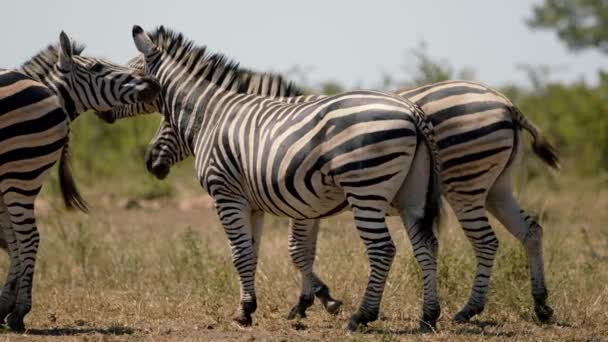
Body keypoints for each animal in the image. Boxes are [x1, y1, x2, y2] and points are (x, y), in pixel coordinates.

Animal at [0, 32, 160, 332]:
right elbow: (9, 241)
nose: (154, 83)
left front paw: (9, 307)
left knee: (29, 237)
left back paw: (18, 313)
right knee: (23, 238)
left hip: (20, 174)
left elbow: (12, 241)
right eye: (96, 67)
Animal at [105, 60, 560, 324]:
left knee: (484, 242)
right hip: (496, 187)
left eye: (168, 122)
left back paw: (465, 310)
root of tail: (506, 103)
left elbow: (294, 251)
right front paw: (309, 301)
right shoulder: (303, 202)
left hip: (465, 184)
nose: (152, 164)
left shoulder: (293, 198)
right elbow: (301, 251)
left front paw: (319, 300)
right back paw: (540, 305)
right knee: (531, 231)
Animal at [107, 26, 444, 332]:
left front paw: (247, 312)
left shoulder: (228, 195)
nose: (151, 163)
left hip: (366, 188)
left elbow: (248, 253)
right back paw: (428, 316)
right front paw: (262, 305)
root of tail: (411, 110)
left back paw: (362, 316)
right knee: (426, 245)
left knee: (382, 249)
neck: (210, 116)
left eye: (168, 123)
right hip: (411, 195)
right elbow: (256, 252)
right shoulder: (256, 203)